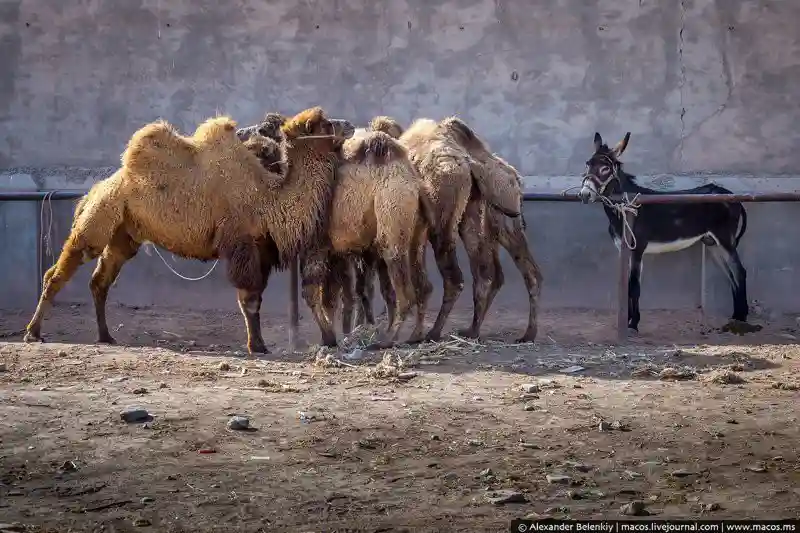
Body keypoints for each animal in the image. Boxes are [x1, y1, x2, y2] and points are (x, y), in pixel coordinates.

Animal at [24, 106, 344, 356]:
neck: (268, 198)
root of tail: (96, 189)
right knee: (62, 268)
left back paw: (106, 336)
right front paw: (257, 346)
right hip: (99, 218)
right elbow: (249, 299)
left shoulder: (261, 249)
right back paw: (33, 333)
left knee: (100, 280)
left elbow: (256, 298)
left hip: (125, 234)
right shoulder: (240, 243)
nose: (348, 126)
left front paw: (261, 343)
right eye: (326, 123)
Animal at [352, 114, 544, 342]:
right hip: (489, 213)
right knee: (508, 271)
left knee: (456, 277)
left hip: (444, 214)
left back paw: (431, 333)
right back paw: (509, 332)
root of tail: (470, 161)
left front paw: (363, 327)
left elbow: (370, 286)